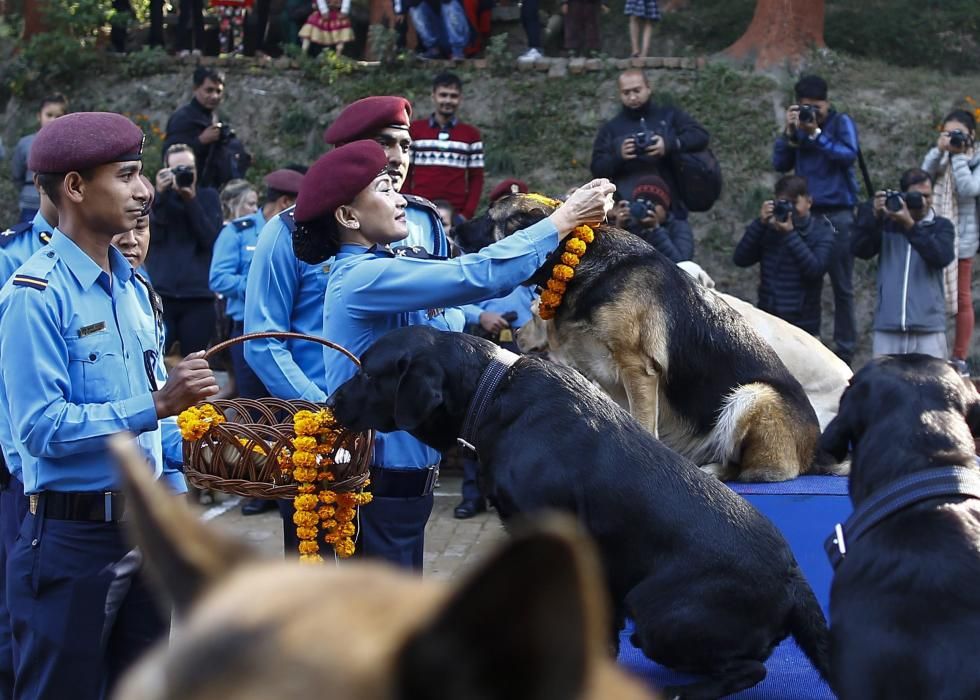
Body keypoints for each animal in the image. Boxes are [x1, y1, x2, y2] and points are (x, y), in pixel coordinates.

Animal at [332, 328, 836, 700]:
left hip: (655, 612)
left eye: (366, 373)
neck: (493, 393)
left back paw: (684, 690)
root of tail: (794, 578)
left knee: (751, 669)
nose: (332, 401)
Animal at [456, 194, 824, 484]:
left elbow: (645, 426)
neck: (581, 261)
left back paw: (709, 471)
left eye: (490, 218)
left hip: (753, 395)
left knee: (744, 469)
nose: (455, 230)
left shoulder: (638, 369)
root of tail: (813, 453)